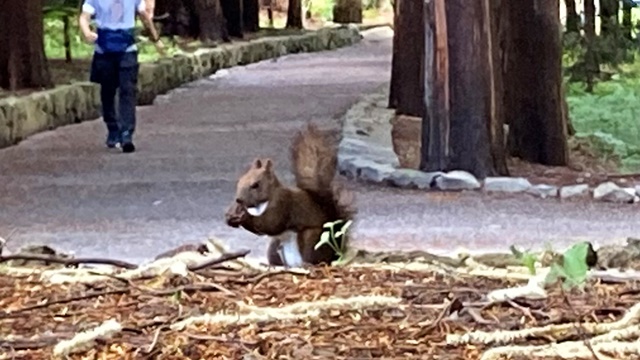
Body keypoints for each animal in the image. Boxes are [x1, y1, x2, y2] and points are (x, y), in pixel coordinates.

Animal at [224, 124, 356, 268]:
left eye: (256, 185)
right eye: (240, 181)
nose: (239, 199)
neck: (261, 205)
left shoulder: (283, 205)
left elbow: (271, 225)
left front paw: (244, 217)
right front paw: (230, 216)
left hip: (311, 239)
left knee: (312, 258)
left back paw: (306, 265)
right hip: (274, 246)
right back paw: (271, 265)